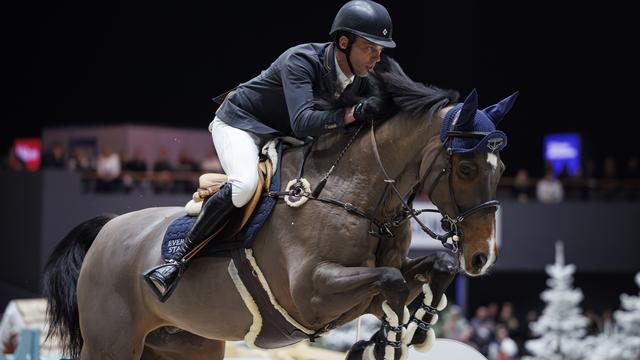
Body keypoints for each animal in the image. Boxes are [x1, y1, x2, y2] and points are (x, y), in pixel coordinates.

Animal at [43, 57, 516, 358]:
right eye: (467, 167)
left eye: (502, 167)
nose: (483, 256)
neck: (357, 196)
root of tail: (107, 229)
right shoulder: (311, 293)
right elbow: (392, 280)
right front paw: (392, 333)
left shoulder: (360, 293)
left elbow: (433, 266)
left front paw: (414, 330)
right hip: (112, 343)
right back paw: (165, 273)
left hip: (182, 345)